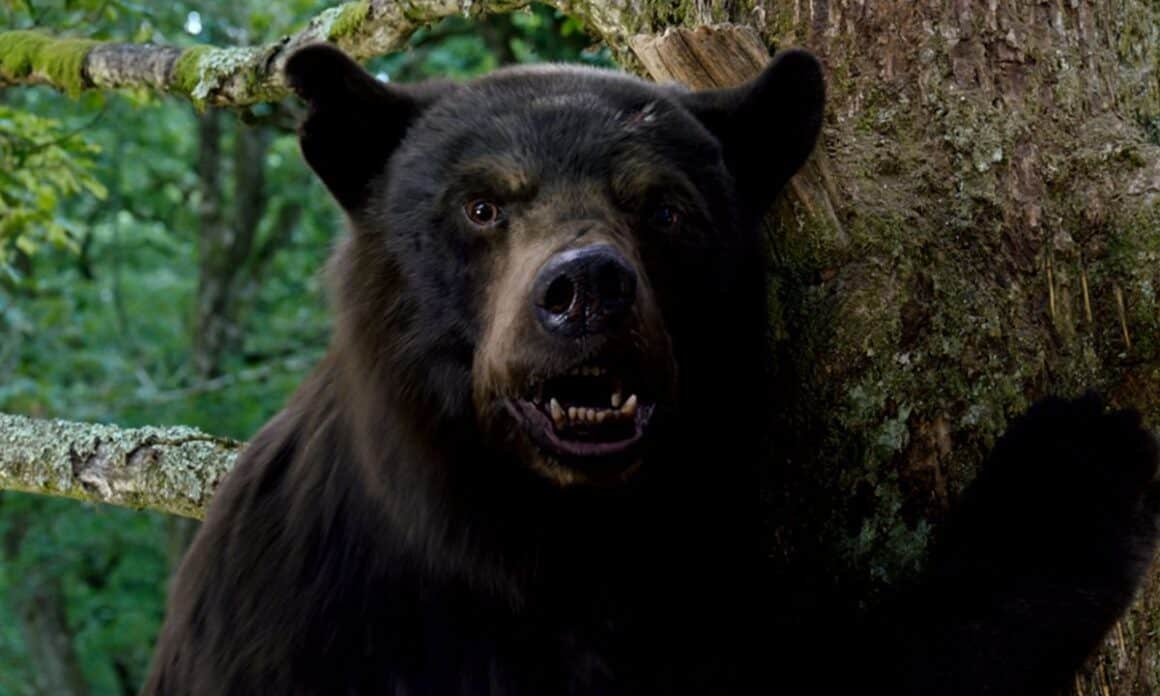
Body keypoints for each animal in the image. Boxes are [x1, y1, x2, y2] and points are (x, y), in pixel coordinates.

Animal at [143, 43, 1160, 695]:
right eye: (481, 205)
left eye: (664, 208)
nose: (586, 289)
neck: (541, 546)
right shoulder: (297, 621)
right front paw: (1071, 463)